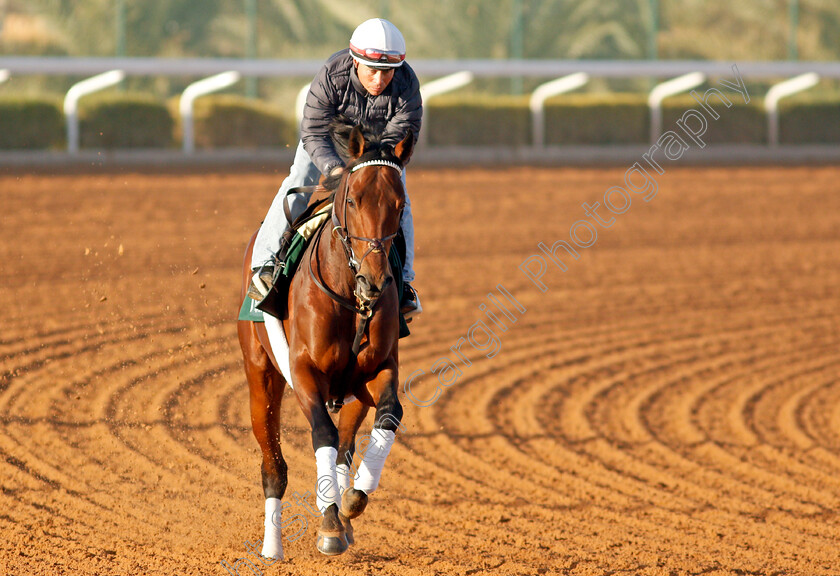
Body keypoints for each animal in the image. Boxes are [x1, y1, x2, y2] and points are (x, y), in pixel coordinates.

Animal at [236, 120, 414, 560]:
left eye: (399, 204)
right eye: (353, 200)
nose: (374, 280)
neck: (350, 298)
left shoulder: (376, 371)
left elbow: (389, 415)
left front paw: (350, 502)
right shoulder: (303, 371)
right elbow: (322, 434)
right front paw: (330, 521)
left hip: (350, 395)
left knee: (348, 444)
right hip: (261, 377)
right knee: (274, 466)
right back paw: (272, 547)